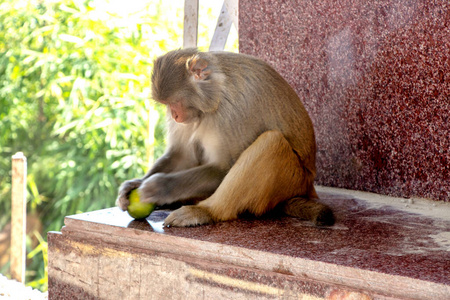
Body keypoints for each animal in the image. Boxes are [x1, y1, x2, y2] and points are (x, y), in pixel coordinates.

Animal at [116, 48, 334, 227]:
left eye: (175, 102)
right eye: (167, 105)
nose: (175, 116)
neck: (218, 93)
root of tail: (307, 187)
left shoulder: (233, 114)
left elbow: (225, 168)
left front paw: (161, 187)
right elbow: (182, 155)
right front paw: (133, 185)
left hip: (293, 180)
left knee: (271, 142)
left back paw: (206, 211)